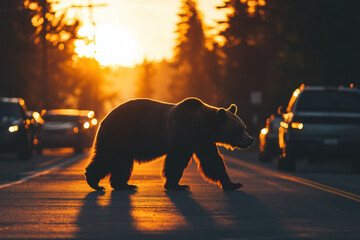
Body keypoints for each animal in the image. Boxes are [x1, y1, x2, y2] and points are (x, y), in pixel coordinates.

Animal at [85, 97, 253, 191]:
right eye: (239, 129)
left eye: (244, 127)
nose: (250, 139)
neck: (202, 125)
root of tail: (104, 119)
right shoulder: (181, 133)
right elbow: (176, 161)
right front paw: (178, 185)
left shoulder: (202, 141)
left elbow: (213, 161)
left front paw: (233, 184)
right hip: (119, 135)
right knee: (107, 157)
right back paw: (95, 182)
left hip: (124, 143)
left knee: (122, 163)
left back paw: (124, 185)